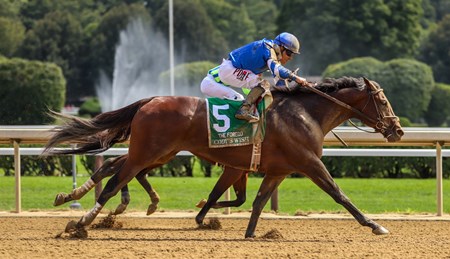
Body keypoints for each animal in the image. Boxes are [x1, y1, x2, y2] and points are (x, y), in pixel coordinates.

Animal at [42, 77, 402, 240]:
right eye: (383, 101)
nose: (397, 129)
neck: (305, 114)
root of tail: (150, 99)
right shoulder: (309, 164)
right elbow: (339, 194)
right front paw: (374, 225)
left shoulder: (278, 170)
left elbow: (256, 201)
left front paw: (249, 232)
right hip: (149, 151)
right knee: (116, 178)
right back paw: (84, 220)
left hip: (157, 151)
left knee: (117, 169)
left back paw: (79, 200)